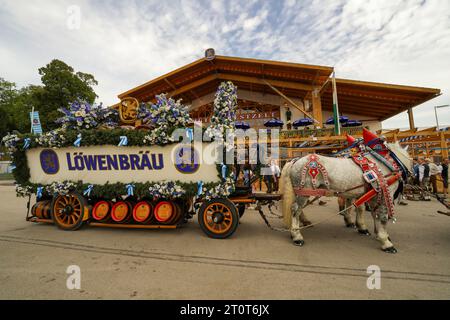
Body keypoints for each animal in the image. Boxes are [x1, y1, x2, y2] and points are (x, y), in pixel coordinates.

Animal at [282, 142, 412, 252]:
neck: (384, 164)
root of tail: (296, 160)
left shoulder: (374, 195)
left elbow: (373, 214)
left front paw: (375, 233)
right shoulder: (385, 195)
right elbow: (383, 218)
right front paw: (386, 242)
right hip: (304, 192)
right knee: (295, 210)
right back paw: (297, 236)